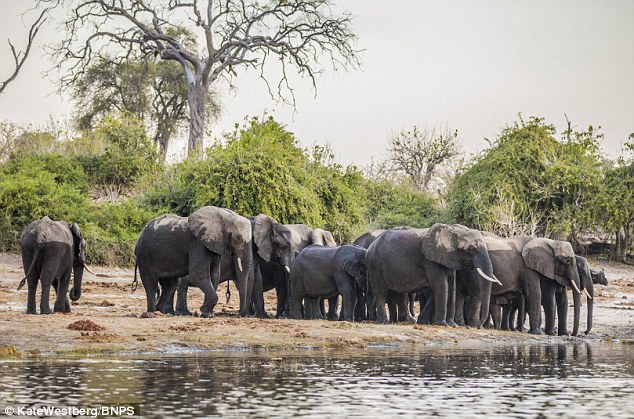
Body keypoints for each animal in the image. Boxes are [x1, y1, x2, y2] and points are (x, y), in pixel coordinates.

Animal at [368, 225, 496, 326]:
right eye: (471, 249)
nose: (479, 325)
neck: (453, 231)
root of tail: (372, 244)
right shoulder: (430, 261)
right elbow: (441, 286)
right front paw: (443, 324)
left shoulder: (449, 258)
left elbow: (450, 287)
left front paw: (451, 324)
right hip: (375, 264)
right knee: (380, 292)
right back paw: (383, 322)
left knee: (400, 294)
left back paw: (406, 321)